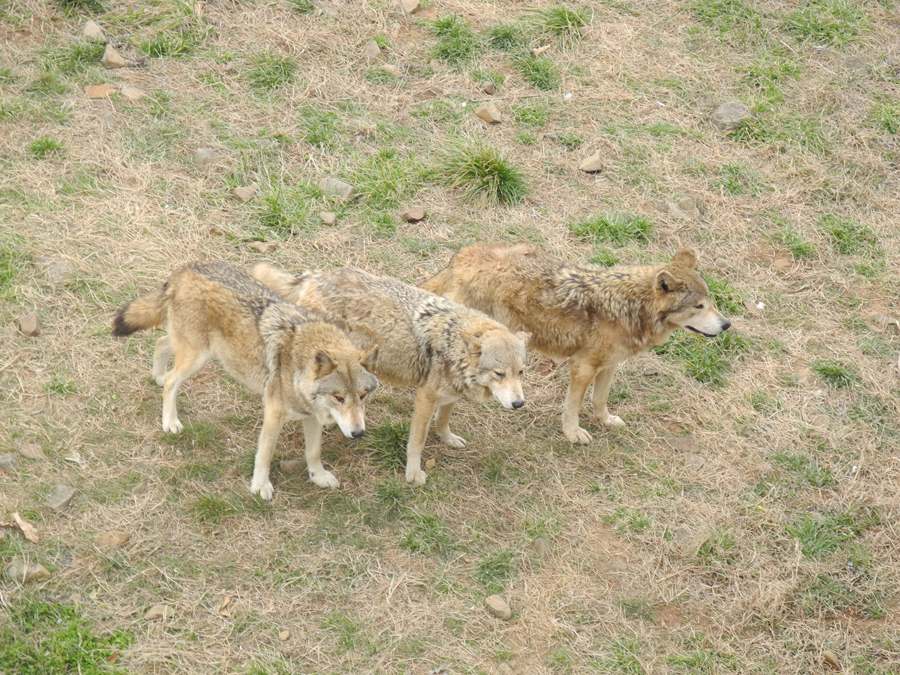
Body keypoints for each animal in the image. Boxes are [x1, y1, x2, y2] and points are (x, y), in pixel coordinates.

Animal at [113, 262, 380, 500]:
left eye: (363, 396)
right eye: (339, 398)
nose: (358, 433)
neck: (299, 363)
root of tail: (185, 269)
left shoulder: (311, 415)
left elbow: (314, 452)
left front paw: (319, 477)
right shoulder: (274, 413)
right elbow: (265, 455)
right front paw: (260, 487)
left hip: (197, 350)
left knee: (161, 345)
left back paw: (157, 377)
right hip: (197, 357)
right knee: (171, 379)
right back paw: (170, 421)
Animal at [250, 264, 532, 486]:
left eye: (520, 372)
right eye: (499, 374)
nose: (519, 404)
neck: (452, 341)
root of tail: (313, 277)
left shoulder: (451, 393)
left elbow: (443, 420)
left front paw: (448, 439)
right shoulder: (425, 397)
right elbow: (417, 442)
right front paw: (413, 474)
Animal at [422, 246, 732, 446]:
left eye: (711, 302)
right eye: (698, 306)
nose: (727, 324)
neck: (631, 308)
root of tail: (461, 257)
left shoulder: (609, 365)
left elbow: (599, 401)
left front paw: (606, 421)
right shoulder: (582, 367)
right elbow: (573, 406)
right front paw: (573, 434)